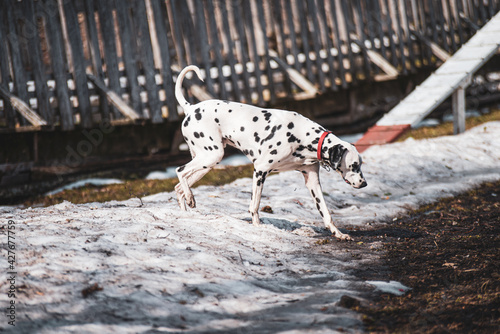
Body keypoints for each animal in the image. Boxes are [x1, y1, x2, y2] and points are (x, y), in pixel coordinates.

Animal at [174, 65, 366, 240]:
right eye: (353, 165)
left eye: (360, 164)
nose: (364, 184)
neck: (303, 136)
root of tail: (191, 108)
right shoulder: (260, 170)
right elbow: (255, 205)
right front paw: (258, 228)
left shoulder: (312, 181)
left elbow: (325, 212)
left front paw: (338, 233)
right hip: (212, 156)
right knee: (179, 171)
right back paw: (190, 198)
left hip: (206, 163)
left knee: (179, 188)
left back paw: (185, 212)